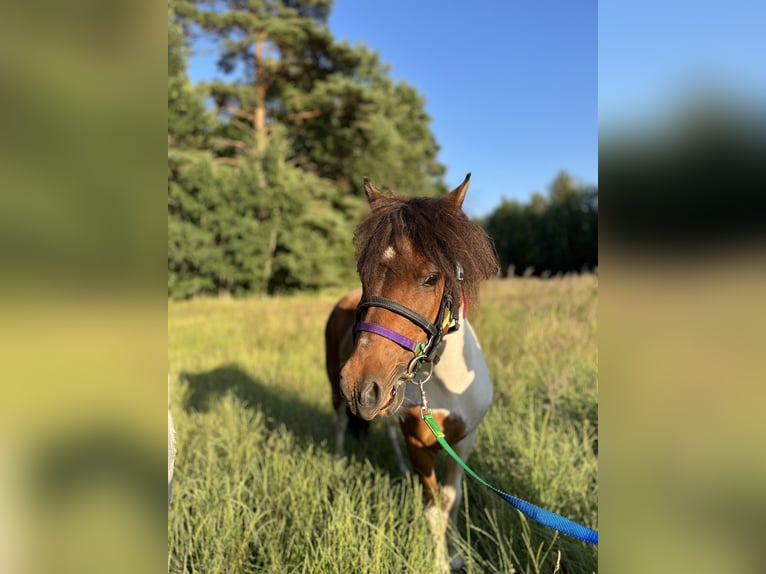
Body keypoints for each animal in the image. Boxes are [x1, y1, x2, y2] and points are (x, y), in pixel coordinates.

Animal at [322, 174, 498, 572]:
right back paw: (338, 467)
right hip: (338, 392)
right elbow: (433, 510)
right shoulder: (419, 444)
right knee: (339, 425)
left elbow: (451, 500)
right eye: (364, 272)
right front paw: (439, 563)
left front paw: (456, 554)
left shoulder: (464, 441)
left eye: (431, 277)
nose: (359, 384)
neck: (445, 382)